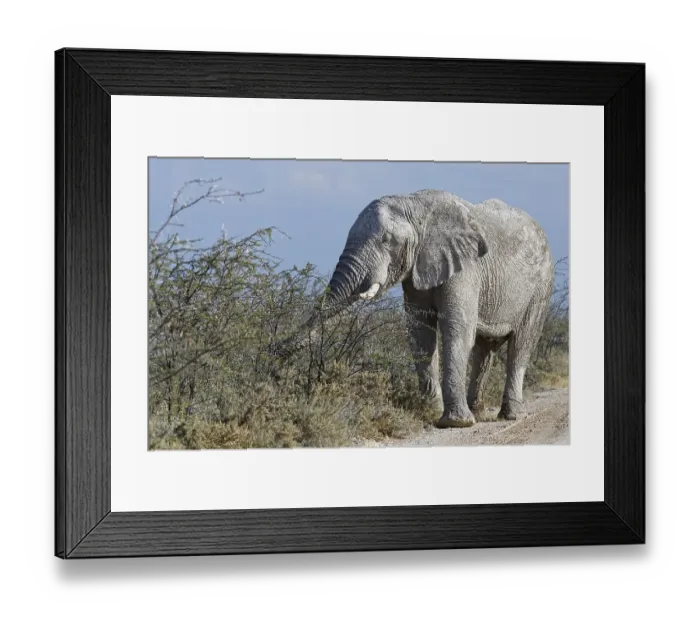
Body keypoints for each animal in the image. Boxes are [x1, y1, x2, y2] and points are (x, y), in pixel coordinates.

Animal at [271, 189, 555, 429]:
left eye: (387, 240)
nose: (273, 354)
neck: (415, 205)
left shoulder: (466, 267)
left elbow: (457, 327)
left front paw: (455, 423)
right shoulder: (418, 269)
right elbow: (420, 332)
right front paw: (429, 412)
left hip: (541, 285)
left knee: (521, 345)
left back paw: (511, 416)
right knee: (485, 350)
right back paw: (479, 411)